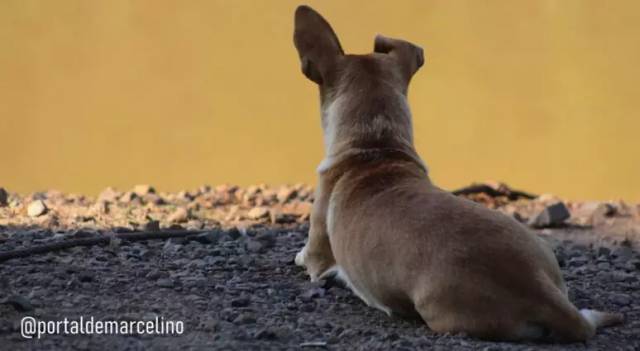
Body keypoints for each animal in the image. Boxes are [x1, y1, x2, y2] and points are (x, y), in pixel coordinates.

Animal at [292, 4, 624, 340]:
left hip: (439, 311)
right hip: (543, 252)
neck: (376, 145)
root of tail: (539, 292)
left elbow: (304, 256)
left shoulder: (315, 256)